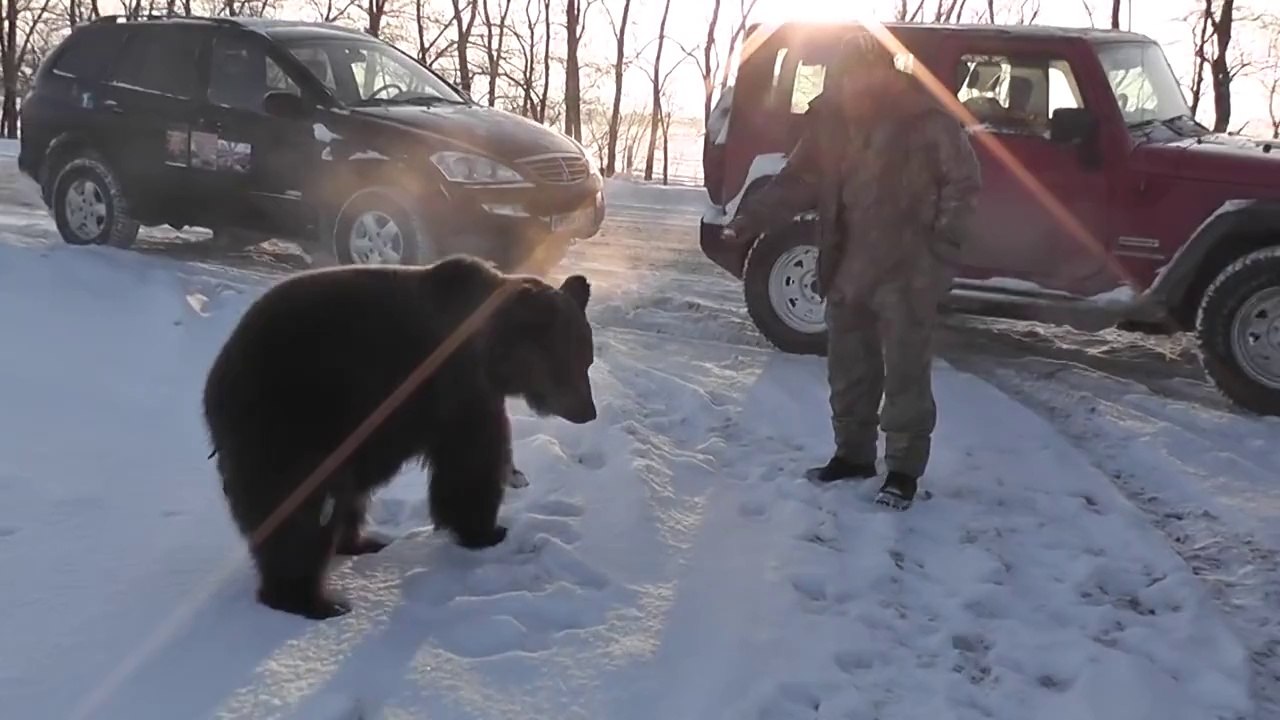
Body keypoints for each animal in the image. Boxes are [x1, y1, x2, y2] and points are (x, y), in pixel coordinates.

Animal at [201, 254, 596, 620]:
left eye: (587, 360)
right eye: (568, 362)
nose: (588, 411)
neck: (490, 354)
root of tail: (216, 380)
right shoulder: (458, 387)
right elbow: (472, 462)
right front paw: (488, 530)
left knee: (341, 498)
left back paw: (361, 542)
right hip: (290, 416)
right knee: (301, 508)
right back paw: (315, 600)